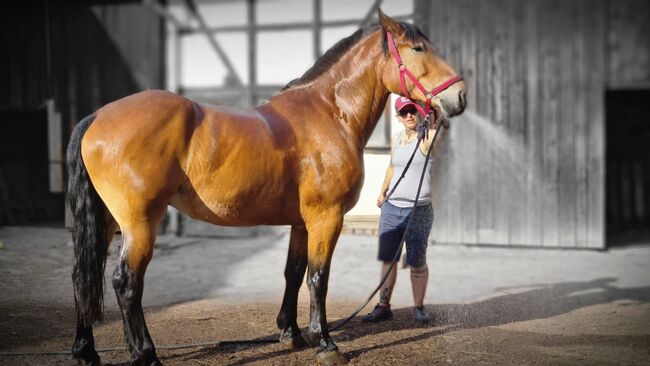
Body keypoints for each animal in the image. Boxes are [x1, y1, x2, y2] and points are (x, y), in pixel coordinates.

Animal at [68, 10, 466, 364]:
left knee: (82, 275)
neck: (329, 113)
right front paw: (324, 343)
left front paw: (291, 333)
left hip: (107, 222)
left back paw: (85, 352)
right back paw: (146, 354)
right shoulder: (327, 218)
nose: (460, 96)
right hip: (139, 223)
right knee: (126, 282)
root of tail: (97, 116)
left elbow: (294, 272)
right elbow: (318, 277)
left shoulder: (302, 222)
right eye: (418, 48)